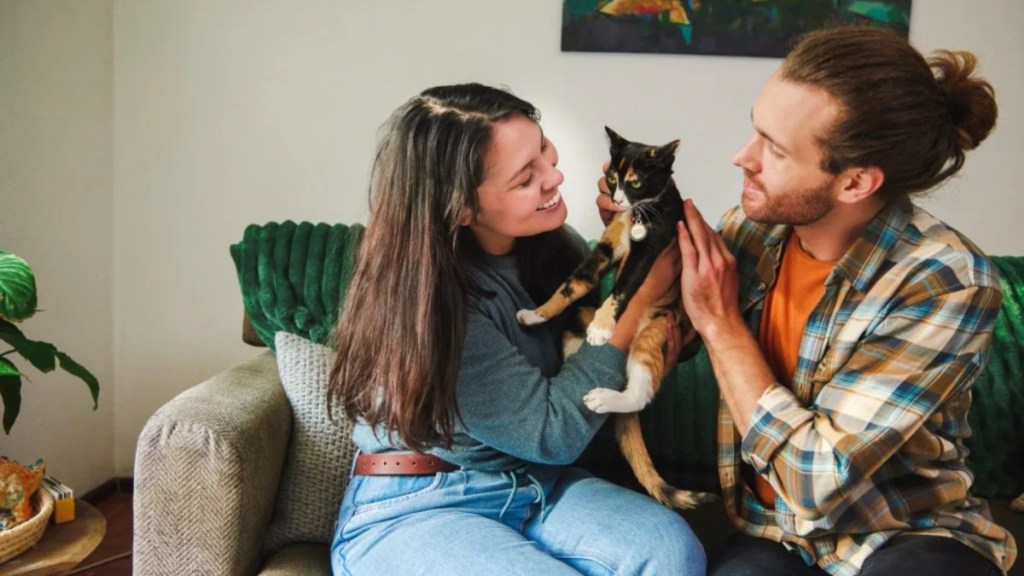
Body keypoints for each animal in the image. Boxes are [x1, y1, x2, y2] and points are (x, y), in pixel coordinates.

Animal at [516, 125, 716, 506]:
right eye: (611, 178)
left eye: (636, 182)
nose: (619, 201)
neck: (636, 216)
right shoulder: (606, 249)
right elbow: (572, 284)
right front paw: (536, 314)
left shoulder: (651, 248)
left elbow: (621, 289)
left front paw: (602, 327)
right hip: (578, 319)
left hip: (657, 329)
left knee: (640, 390)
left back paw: (604, 393)